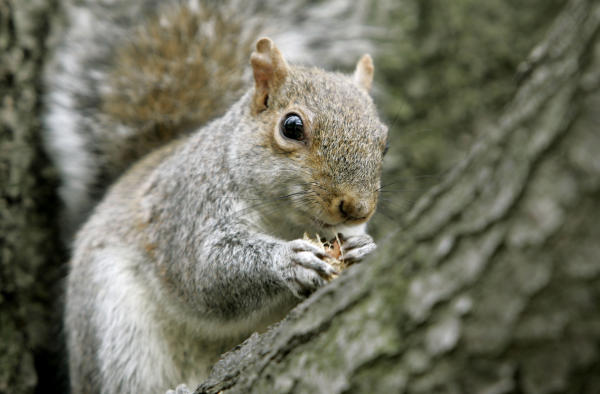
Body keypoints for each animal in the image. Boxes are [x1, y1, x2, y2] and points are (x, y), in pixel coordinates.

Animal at [43, 0, 390, 394]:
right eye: (292, 126)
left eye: (385, 143)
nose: (356, 209)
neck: (284, 220)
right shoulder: (188, 208)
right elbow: (206, 272)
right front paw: (289, 260)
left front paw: (364, 248)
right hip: (112, 320)